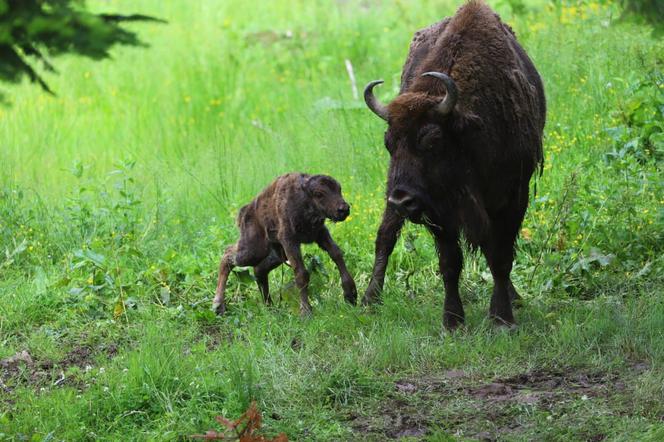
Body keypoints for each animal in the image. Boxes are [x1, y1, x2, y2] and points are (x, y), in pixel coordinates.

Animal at [213, 172, 358, 314]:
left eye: (339, 189)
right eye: (319, 193)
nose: (344, 209)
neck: (304, 198)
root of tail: (244, 211)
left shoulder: (320, 233)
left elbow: (336, 254)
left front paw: (351, 295)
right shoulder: (289, 241)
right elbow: (301, 274)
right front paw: (306, 312)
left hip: (277, 253)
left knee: (259, 269)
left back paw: (270, 307)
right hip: (253, 250)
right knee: (228, 255)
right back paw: (218, 305)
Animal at [364, 0, 544, 328]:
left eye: (432, 140)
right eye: (388, 143)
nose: (402, 200)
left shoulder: (514, 196)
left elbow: (500, 257)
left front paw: (502, 318)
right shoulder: (438, 209)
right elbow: (450, 262)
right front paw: (452, 321)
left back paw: (513, 297)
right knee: (386, 234)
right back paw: (370, 299)